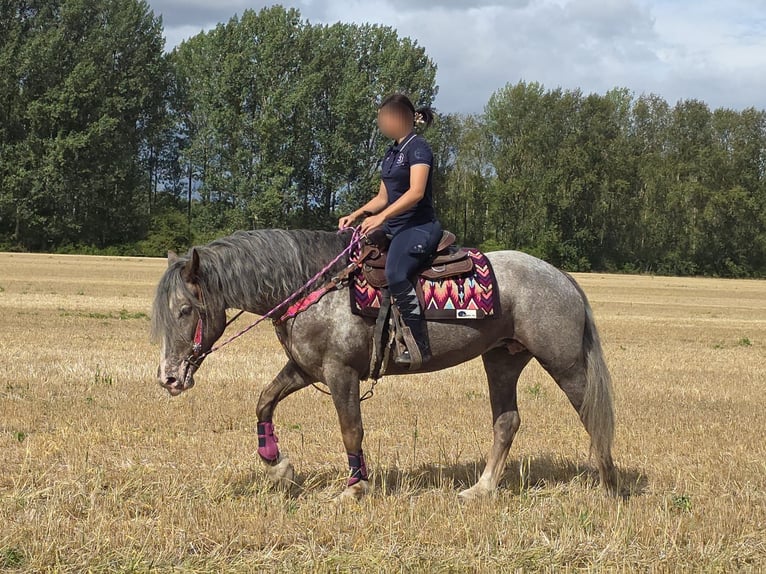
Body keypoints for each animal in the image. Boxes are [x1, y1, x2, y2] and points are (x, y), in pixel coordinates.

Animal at [150, 228, 618, 500]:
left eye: (184, 310)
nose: (169, 377)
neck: (317, 289)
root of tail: (561, 276)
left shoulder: (341, 373)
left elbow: (351, 429)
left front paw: (354, 488)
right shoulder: (305, 369)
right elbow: (264, 402)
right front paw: (278, 466)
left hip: (565, 363)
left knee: (591, 414)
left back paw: (609, 487)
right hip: (503, 359)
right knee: (507, 421)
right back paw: (481, 489)